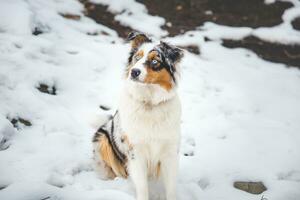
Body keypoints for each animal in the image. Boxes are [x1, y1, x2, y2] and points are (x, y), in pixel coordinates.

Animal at [92, 31, 184, 200]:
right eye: (137, 57)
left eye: (155, 61)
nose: (134, 72)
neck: (149, 103)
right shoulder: (135, 152)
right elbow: (142, 186)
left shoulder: (169, 151)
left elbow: (171, 188)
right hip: (102, 140)